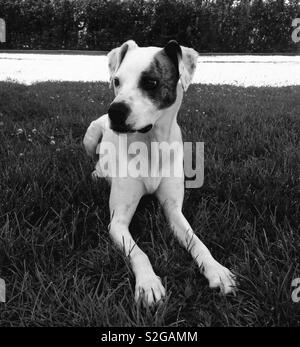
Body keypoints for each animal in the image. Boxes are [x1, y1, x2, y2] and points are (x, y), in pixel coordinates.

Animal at [84, 40, 237, 306]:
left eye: (151, 82)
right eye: (117, 81)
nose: (115, 111)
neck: (151, 143)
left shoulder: (174, 210)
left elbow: (197, 242)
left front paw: (216, 270)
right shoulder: (117, 222)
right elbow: (139, 252)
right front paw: (148, 283)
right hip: (90, 136)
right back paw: (97, 175)